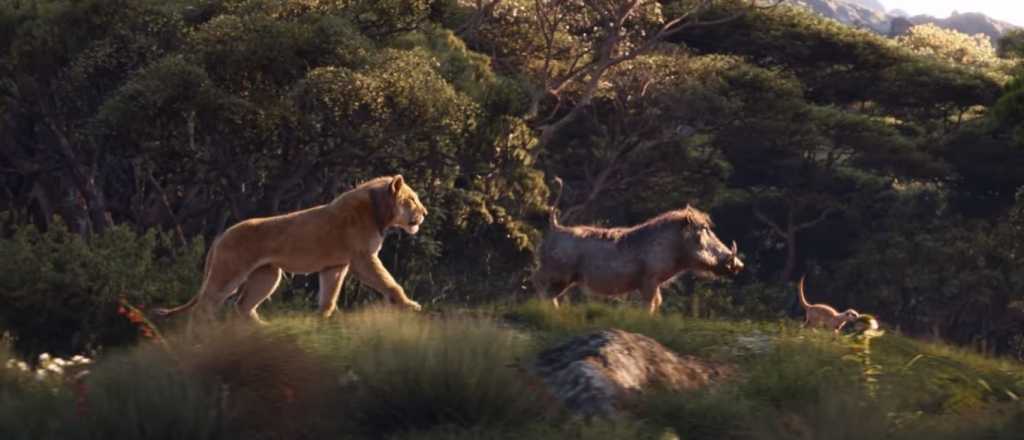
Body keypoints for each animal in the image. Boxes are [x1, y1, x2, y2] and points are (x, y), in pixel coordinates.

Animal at [153, 173, 425, 325]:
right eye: (411, 199)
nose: (425, 213)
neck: (379, 212)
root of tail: (221, 236)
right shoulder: (363, 259)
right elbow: (390, 283)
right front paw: (410, 306)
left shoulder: (335, 265)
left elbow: (328, 298)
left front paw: (322, 322)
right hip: (228, 273)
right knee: (204, 308)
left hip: (267, 275)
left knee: (242, 307)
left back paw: (264, 332)